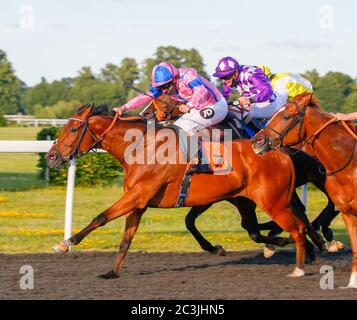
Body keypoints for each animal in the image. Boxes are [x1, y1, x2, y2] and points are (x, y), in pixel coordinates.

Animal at [46, 104, 308, 278]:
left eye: (73, 129)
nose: (51, 157)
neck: (142, 146)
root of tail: (278, 152)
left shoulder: (137, 195)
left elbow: (100, 217)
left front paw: (66, 243)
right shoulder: (138, 202)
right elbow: (126, 239)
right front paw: (112, 272)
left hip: (272, 201)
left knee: (297, 227)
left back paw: (298, 261)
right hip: (245, 199)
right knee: (259, 229)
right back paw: (283, 244)